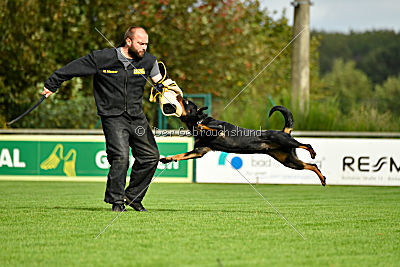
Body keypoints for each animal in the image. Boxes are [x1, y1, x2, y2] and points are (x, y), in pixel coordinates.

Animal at [159, 97, 324, 187]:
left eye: (186, 101)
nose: (179, 95)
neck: (197, 120)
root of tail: (284, 131)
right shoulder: (199, 151)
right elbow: (180, 155)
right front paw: (167, 159)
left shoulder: (218, 130)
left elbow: (208, 126)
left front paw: (201, 125)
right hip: (288, 161)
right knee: (313, 166)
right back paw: (322, 179)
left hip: (286, 142)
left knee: (307, 145)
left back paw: (313, 152)